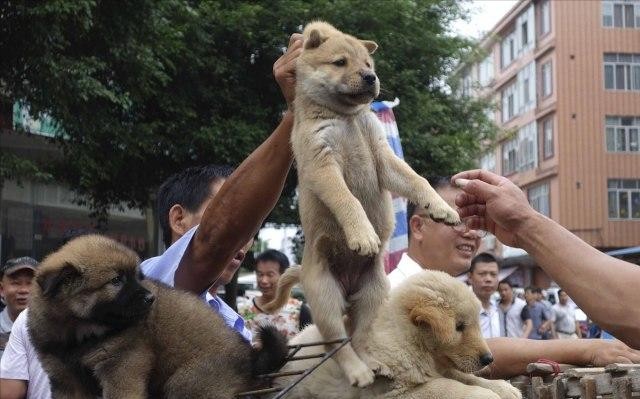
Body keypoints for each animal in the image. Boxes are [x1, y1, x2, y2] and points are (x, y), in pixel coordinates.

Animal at [28, 236, 288, 398]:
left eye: (138, 276)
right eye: (116, 280)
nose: (150, 298)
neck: (80, 331)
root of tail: (250, 355)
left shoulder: (122, 367)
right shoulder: (64, 378)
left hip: (188, 382)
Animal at [262, 20, 462, 390]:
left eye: (368, 65)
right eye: (340, 62)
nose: (370, 78)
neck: (346, 119)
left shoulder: (383, 157)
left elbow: (417, 180)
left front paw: (442, 207)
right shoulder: (322, 164)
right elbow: (348, 200)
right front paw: (362, 234)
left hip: (374, 292)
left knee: (361, 336)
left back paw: (373, 363)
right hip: (325, 297)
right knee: (337, 344)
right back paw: (358, 372)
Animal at [272, 270, 524, 398]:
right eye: (459, 327)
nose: (489, 359)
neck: (409, 340)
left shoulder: (442, 367)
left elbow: (467, 377)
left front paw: (504, 389)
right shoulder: (395, 391)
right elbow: (448, 387)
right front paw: (487, 395)